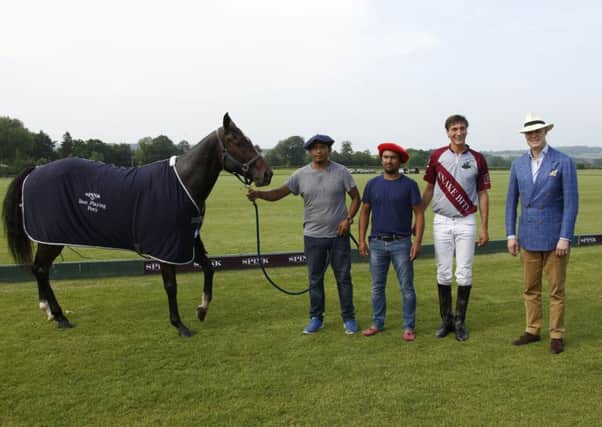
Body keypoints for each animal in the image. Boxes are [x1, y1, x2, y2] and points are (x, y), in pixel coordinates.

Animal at [1, 113, 274, 338]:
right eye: (238, 141)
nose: (267, 173)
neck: (183, 182)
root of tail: (35, 170)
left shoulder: (187, 240)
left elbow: (209, 268)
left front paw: (202, 309)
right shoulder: (167, 247)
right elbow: (171, 286)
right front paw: (179, 325)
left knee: (41, 270)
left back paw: (51, 312)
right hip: (51, 239)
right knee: (40, 270)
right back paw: (58, 315)